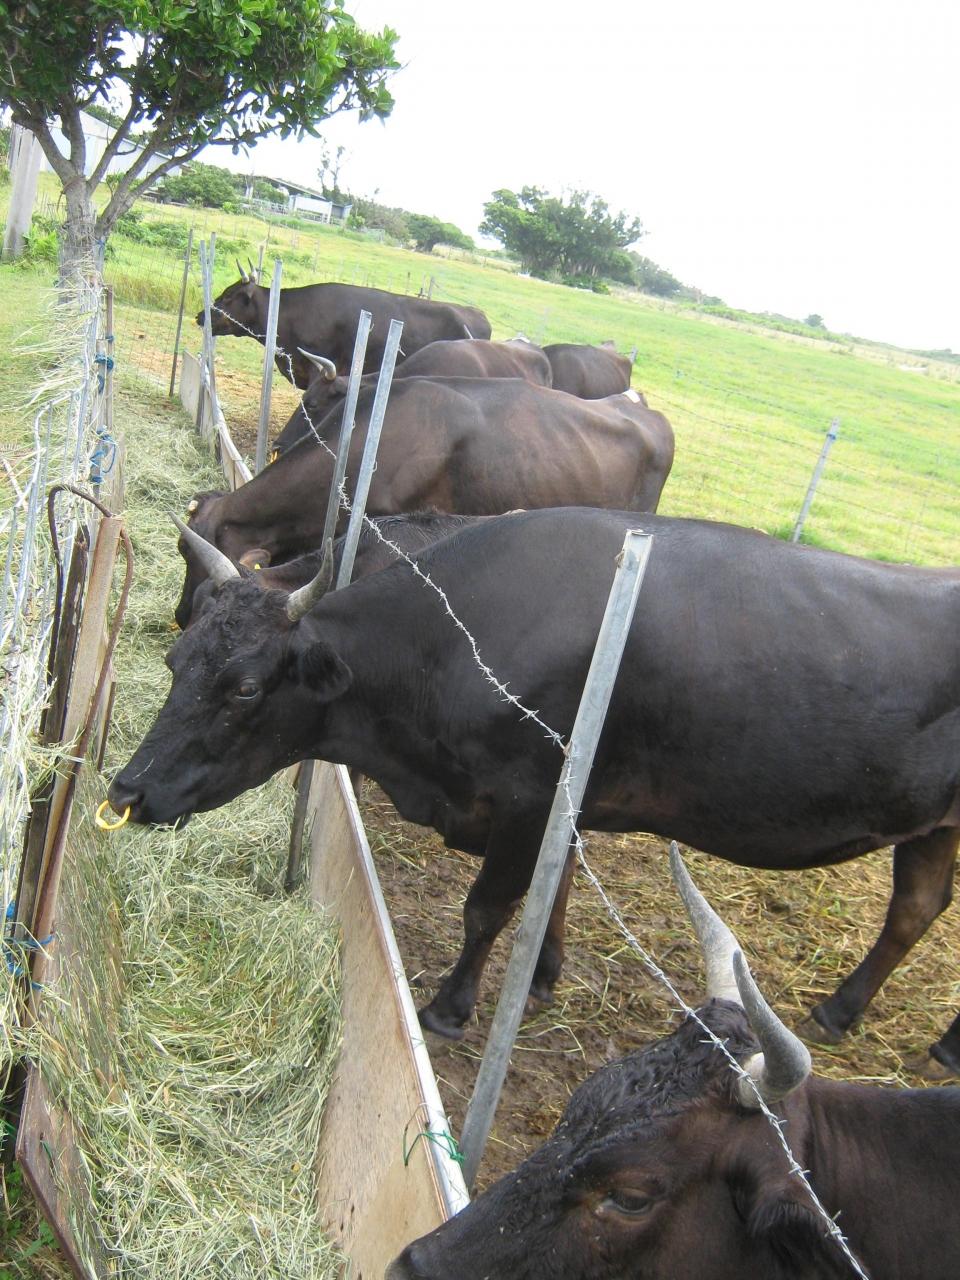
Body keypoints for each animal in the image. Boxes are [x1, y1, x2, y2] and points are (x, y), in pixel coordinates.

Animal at [112, 507, 960, 1075]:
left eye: (246, 688)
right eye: (177, 658)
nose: (128, 791)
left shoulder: (530, 798)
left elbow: (489, 907)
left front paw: (450, 1008)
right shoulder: (563, 807)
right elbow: (559, 884)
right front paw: (546, 972)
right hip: (935, 825)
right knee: (917, 906)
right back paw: (840, 1011)